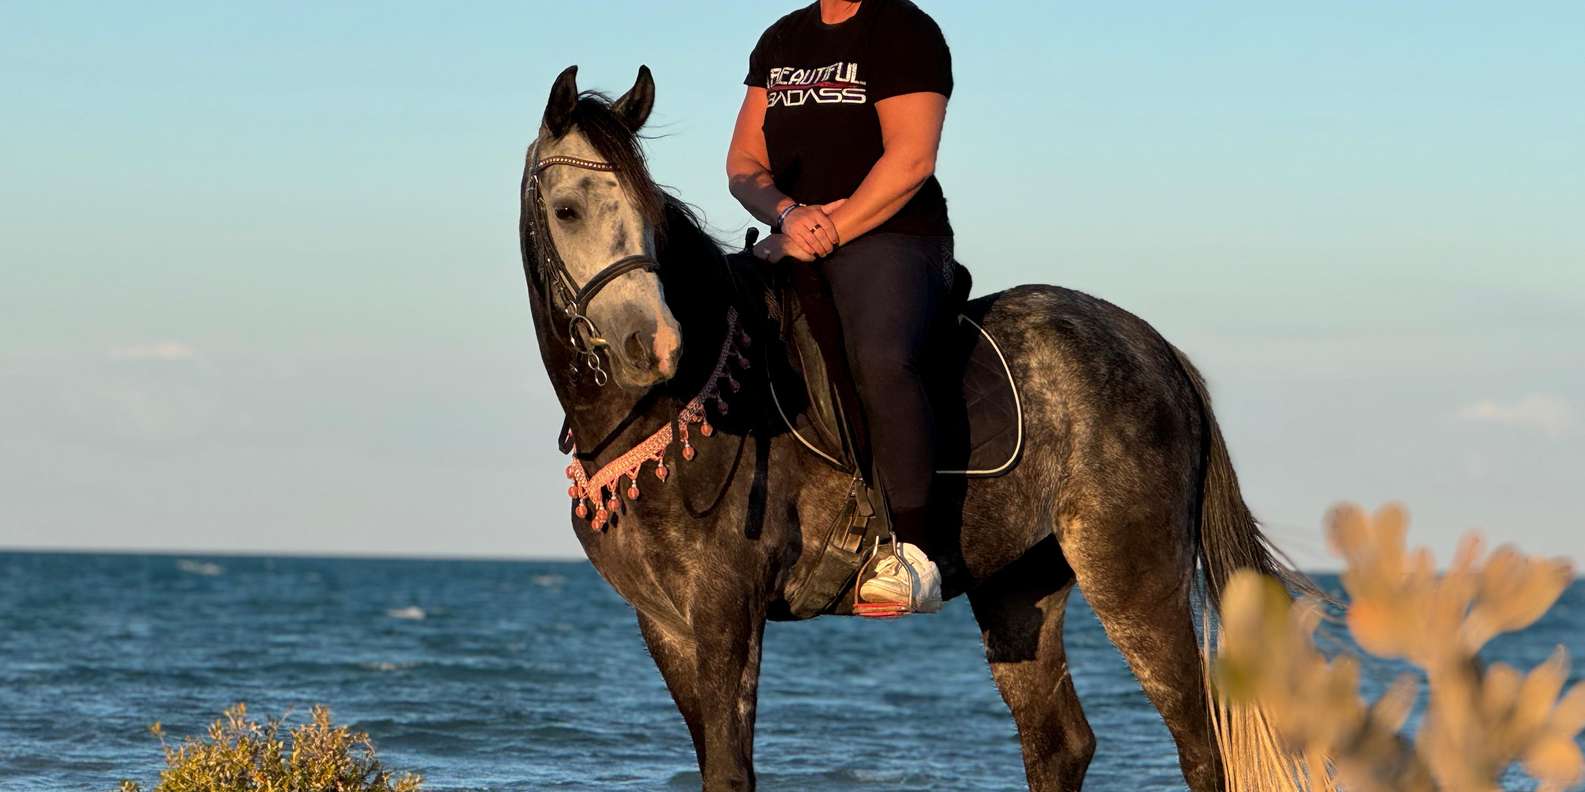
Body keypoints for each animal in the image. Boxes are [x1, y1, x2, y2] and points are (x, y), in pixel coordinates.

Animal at [518, 64, 1297, 792]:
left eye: (651, 215)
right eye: (566, 210)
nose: (652, 346)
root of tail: (1156, 349)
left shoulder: (725, 612)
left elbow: (730, 771)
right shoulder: (666, 626)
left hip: (1134, 581)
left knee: (1202, 744)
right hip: (1020, 586)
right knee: (1059, 743)